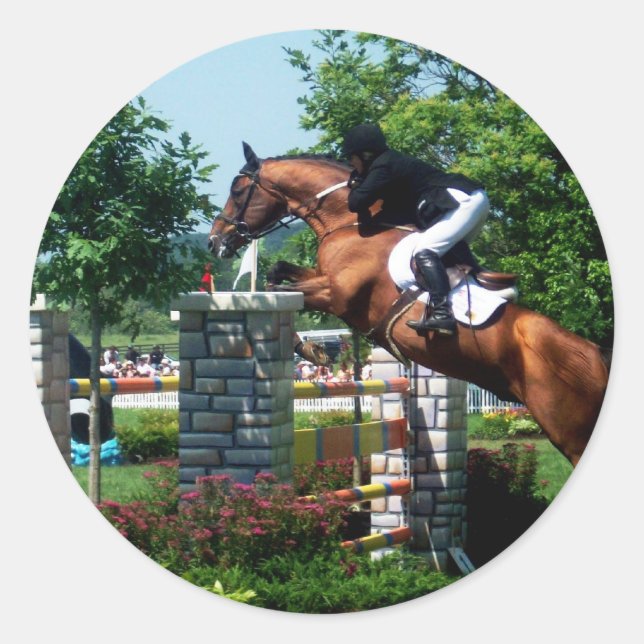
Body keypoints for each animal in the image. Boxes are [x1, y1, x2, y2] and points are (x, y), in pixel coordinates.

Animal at [208, 142, 610, 466]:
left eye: (237, 190)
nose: (214, 242)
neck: (349, 221)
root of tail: (596, 355)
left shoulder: (337, 294)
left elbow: (287, 288)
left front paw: (312, 350)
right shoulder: (324, 280)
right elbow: (277, 274)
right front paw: (311, 348)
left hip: (569, 432)